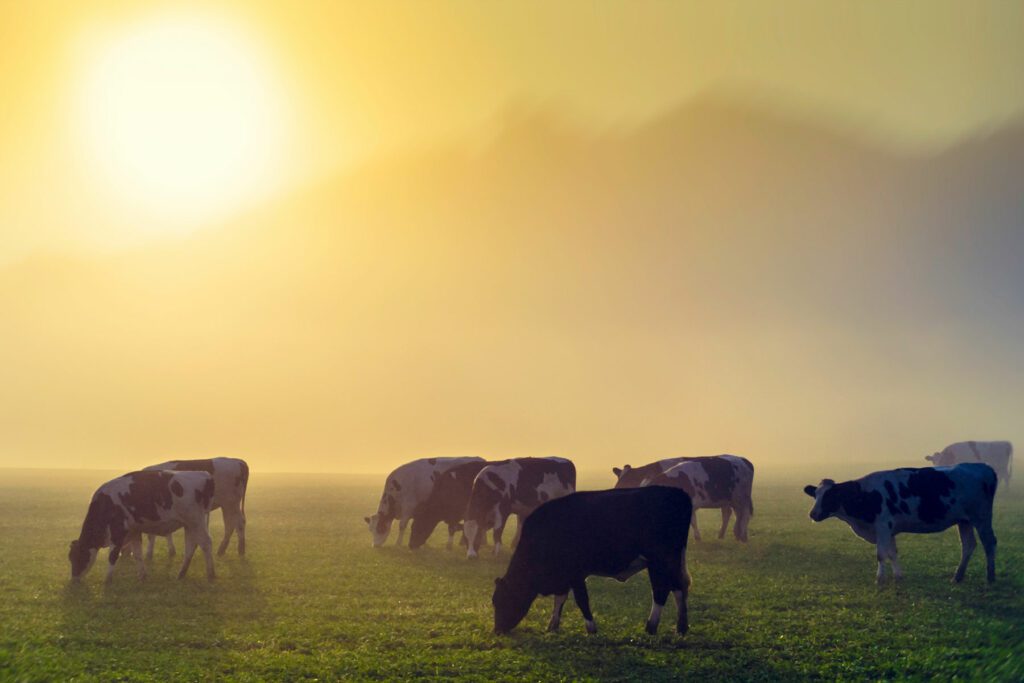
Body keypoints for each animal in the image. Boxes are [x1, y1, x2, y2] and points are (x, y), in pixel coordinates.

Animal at [68, 473, 216, 585]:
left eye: (76, 557)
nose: (74, 580)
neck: (105, 504)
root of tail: (204, 475)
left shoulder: (118, 532)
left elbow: (112, 556)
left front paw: (107, 580)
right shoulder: (134, 532)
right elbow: (137, 554)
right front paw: (142, 576)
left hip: (196, 521)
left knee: (206, 543)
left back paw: (210, 575)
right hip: (189, 525)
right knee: (191, 547)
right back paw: (181, 574)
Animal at [489, 485, 696, 634]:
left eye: (502, 600)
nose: (498, 630)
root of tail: (678, 493)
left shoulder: (576, 573)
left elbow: (581, 599)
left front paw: (591, 628)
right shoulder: (563, 576)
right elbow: (560, 598)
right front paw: (553, 625)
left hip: (660, 560)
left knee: (662, 590)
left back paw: (651, 626)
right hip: (672, 561)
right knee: (679, 587)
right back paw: (681, 626)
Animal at [802, 462, 995, 585]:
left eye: (830, 496)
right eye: (815, 495)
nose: (813, 514)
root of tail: (982, 466)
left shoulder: (882, 526)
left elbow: (881, 554)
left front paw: (879, 579)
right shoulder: (889, 530)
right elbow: (893, 553)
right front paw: (898, 576)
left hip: (982, 517)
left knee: (989, 543)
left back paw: (990, 577)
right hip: (964, 521)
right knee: (968, 545)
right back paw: (957, 577)